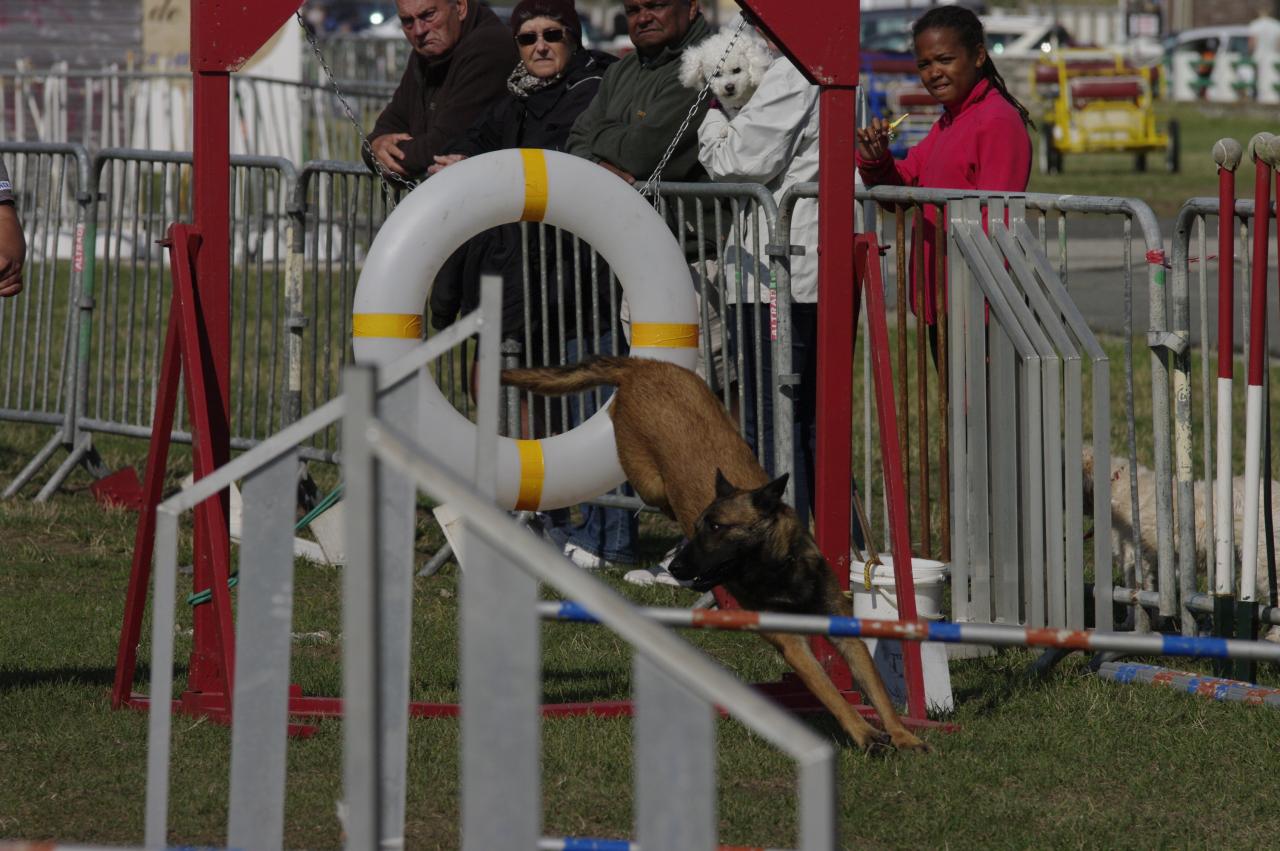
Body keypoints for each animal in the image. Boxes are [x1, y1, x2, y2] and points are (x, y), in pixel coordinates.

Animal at [501, 350, 931, 752]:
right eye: (698, 528)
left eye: (717, 528)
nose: (675, 567)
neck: (779, 568)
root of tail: (643, 365)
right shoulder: (793, 644)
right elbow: (830, 692)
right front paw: (865, 734)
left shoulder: (843, 631)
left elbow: (875, 687)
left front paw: (901, 734)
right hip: (647, 479)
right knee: (657, 495)